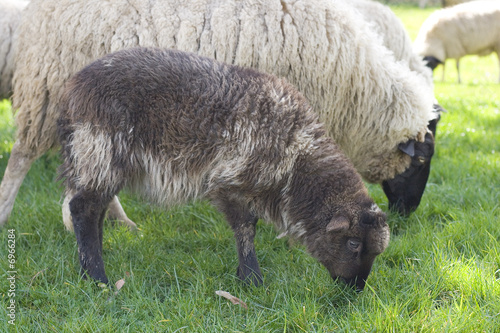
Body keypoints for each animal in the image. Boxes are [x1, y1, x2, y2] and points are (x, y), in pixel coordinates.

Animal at [0, 0, 438, 228]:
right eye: (419, 163)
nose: (408, 214)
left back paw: (121, 224)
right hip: (49, 94)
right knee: (21, 158)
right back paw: (6, 214)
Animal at [56, 47, 388, 290]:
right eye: (353, 242)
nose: (355, 288)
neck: (297, 156)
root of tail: (71, 90)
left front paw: (246, 277)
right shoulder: (230, 181)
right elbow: (246, 228)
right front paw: (252, 280)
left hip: (96, 157)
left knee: (95, 209)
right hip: (101, 150)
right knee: (83, 209)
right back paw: (97, 278)